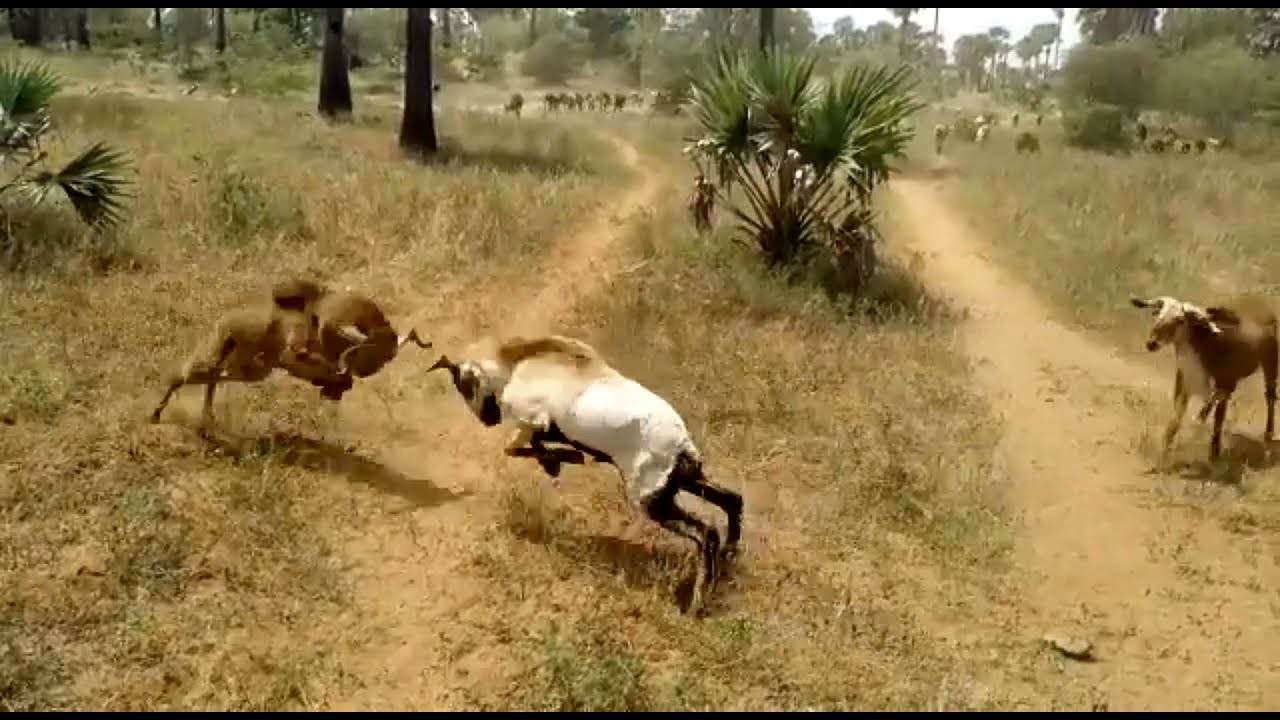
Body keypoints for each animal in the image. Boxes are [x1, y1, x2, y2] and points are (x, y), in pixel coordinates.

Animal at [150, 295, 338, 427]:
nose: (341, 379)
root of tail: (226, 324)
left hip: (224, 354)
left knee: (206, 374)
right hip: (236, 359)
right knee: (193, 375)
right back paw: (157, 414)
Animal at [427, 334, 744, 615]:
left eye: (463, 384)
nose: (487, 420)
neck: (521, 361)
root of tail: (681, 443)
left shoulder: (533, 420)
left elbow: (515, 447)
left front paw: (563, 460)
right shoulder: (540, 428)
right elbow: (533, 446)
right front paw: (558, 462)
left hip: (651, 500)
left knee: (706, 533)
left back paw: (696, 603)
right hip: (682, 482)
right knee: (732, 500)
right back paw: (727, 558)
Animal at [1130, 294, 1278, 461]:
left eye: (1180, 319)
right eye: (1158, 314)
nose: (1152, 343)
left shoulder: (1223, 384)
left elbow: (1217, 422)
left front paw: (1214, 455)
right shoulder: (1184, 383)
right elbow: (1176, 419)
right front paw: (1165, 449)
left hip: (1270, 364)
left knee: (1270, 397)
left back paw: (1268, 434)